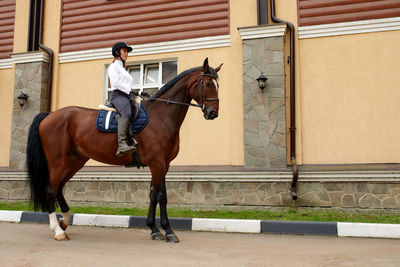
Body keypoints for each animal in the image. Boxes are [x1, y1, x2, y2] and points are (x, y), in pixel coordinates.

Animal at [26, 58, 222, 243]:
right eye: (207, 84)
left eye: (217, 84)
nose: (213, 113)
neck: (161, 116)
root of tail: (49, 116)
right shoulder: (157, 163)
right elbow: (162, 196)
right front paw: (168, 231)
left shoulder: (163, 165)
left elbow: (153, 195)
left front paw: (154, 229)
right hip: (57, 162)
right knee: (50, 190)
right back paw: (57, 230)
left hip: (75, 162)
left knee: (59, 187)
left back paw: (64, 221)